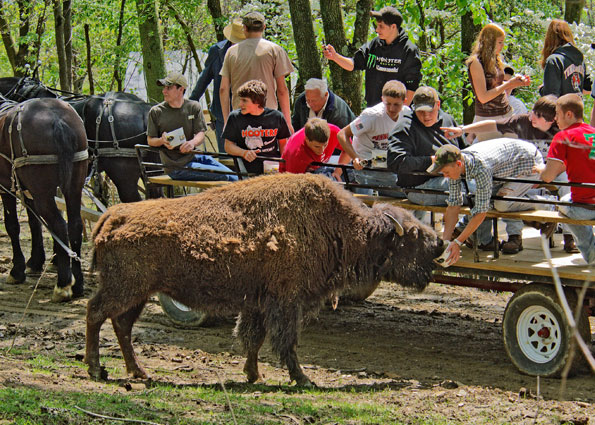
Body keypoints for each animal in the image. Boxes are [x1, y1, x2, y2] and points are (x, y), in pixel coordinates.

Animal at [0, 97, 88, 300]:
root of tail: (57, 118)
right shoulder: (27, 190)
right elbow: (35, 223)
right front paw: (35, 261)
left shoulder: (7, 187)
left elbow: (12, 226)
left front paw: (17, 270)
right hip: (73, 186)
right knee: (74, 225)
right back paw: (77, 284)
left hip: (43, 192)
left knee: (59, 225)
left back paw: (63, 284)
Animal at [86, 172, 444, 384]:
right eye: (412, 235)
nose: (439, 244)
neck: (339, 225)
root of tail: (113, 215)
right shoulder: (286, 301)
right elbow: (286, 341)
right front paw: (303, 380)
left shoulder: (257, 304)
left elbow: (253, 339)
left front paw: (252, 375)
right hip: (125, 289)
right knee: (96, 313)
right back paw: (96, 369)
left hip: (138, 293)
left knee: (121, 325)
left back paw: (139, 373)